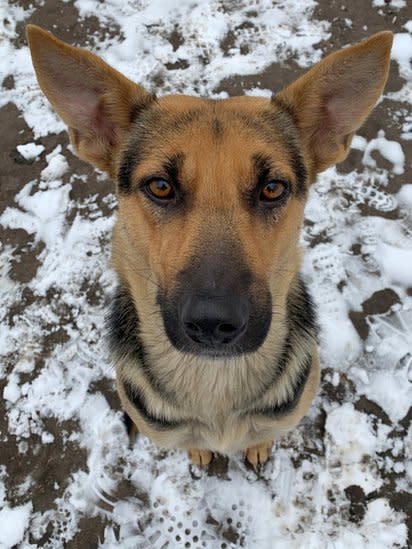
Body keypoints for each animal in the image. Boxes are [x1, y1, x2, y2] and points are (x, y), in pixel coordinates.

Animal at [26, 23, 392, 464]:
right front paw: (199, 452)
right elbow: (193, 440)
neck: (215, 382)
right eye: (160, 186)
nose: (213, 323)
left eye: (272, 188)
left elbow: (262, 433)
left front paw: (257, 446)